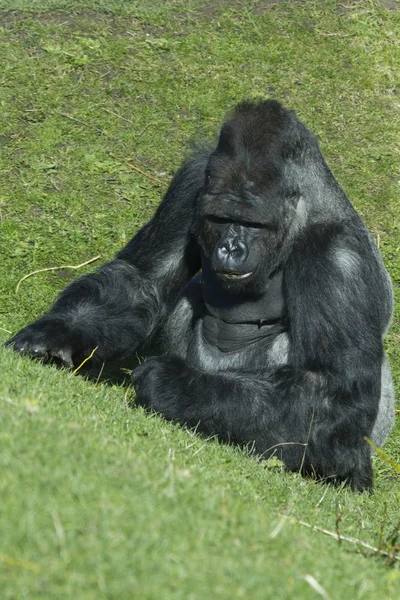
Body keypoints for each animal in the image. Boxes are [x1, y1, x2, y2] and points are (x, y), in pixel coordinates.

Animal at [6, 99, 394, 492]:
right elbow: (141, 279)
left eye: (252, 223)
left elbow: (333, 392)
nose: (230, 249)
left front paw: (171, 383)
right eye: (219, 218)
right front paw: (56, 334)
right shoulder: (191, 183)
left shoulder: (339, 257)